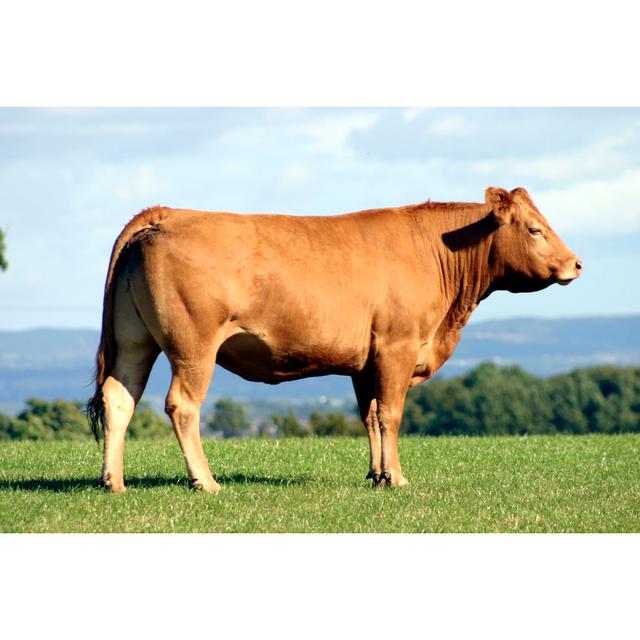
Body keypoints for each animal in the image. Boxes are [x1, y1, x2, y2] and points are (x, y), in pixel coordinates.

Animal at [87, 188, 584, 492]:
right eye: (535, 229)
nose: (576, 264)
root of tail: (167, 214)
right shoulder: (397, 347)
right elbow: (392, 415)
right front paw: (397, 478)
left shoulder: (365, 361)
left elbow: (370, 417)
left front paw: (376, 475)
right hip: (194, 346)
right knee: (182, 406)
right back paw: (205, 482)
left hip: (134, 341)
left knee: (118, 398)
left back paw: (114, 481)